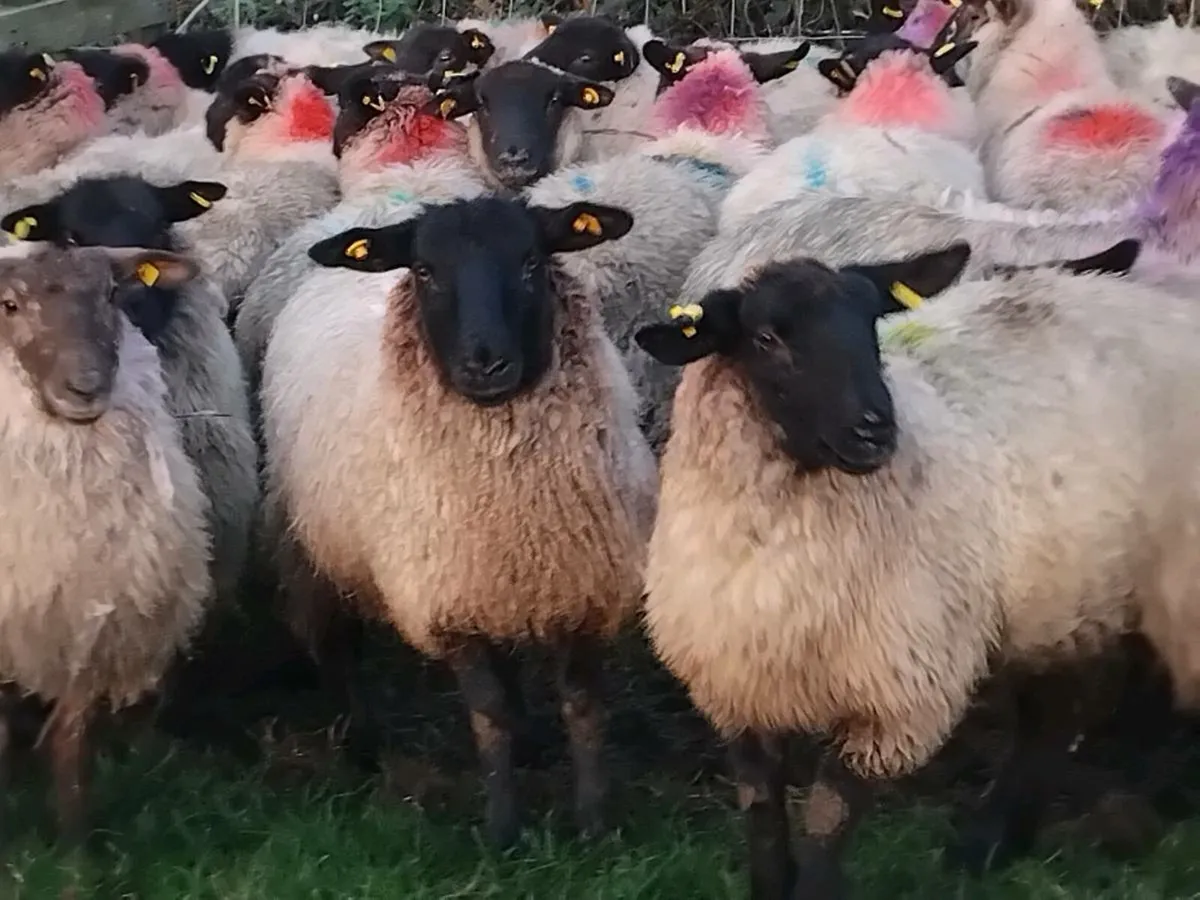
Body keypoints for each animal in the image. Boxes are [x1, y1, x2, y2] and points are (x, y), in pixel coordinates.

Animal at [0, 242, 212, 842]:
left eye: (114, 294)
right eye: (9, 305)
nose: (86, 387)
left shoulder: (93, 625)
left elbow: (71, 746)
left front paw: (76, 852)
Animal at [263, 195, 657, 846]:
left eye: (531, 260)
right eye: (424, 271)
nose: (485, 363)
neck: (506, 493)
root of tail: (372, 204)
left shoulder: (577, 589)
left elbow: (581, 706)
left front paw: (593, 823)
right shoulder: (448, 603)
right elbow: (487, 712)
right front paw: (502, 831)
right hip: (313, 547)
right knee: (337, 641)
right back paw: (362, 741)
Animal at [632, 239, 1200, 898]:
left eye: (871, 323)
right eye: (768, 337)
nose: (874, 429)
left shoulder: (895, 696)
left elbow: (828, 815)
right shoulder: (736, 685)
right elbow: (762, 811)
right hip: (1067, 589)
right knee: (1054, 714)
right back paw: (992, 844)